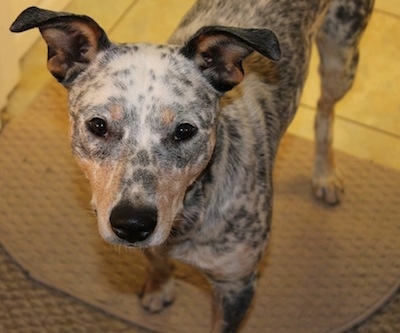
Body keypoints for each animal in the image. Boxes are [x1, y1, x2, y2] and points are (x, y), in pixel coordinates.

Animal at [9, 1, 374, 330]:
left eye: (184, 131)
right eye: (98, 125)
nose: (132, 224)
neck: (189, 213)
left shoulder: (236, 285)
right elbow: (155, 261)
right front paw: (158, 288)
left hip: (342, 56)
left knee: (325, 111)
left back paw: (325, 176)